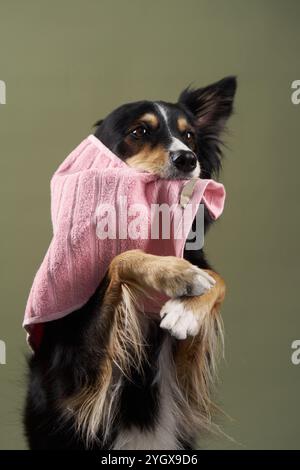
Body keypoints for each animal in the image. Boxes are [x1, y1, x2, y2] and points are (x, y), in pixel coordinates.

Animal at [23, 75, 237, 450]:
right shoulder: (77, 375)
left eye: (190, 136)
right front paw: (178, 274)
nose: (187, 159)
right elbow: (120, 256)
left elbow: (217, 279)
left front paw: (186, 310)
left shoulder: (185, 380)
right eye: (139, 132)